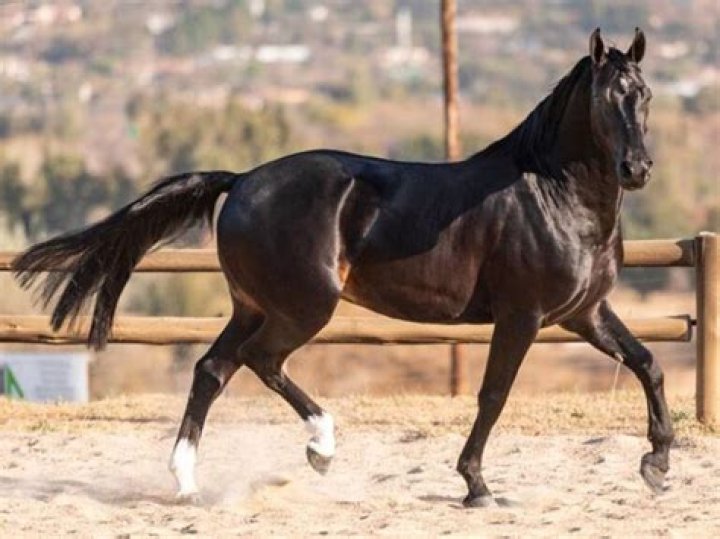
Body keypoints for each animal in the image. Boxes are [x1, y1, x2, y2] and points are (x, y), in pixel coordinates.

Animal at [13, 28, 671, 507]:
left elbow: (647, 363)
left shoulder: (584, 313)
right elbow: (493, 394)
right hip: (305, 307)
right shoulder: (523, 316)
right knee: (260, 361)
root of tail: (242, 181)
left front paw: (658, 464)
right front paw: (476, 486)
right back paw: (320, 449)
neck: (552, 196)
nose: (638, 169)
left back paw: (189, 481)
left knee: (213, 369)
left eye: (645, 95)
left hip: (254, 306)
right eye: (606, 98)